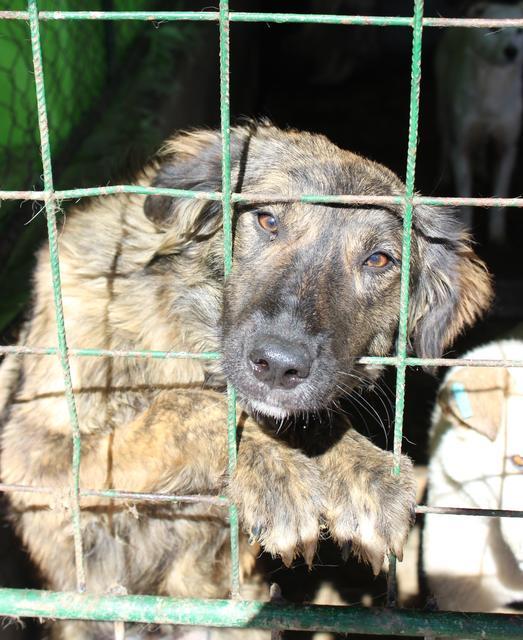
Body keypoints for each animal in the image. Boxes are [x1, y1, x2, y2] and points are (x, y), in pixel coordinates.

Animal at [0, 122, 494, 636]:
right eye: (268, 220)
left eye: (379, 260)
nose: (278, 364)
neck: (179, 327)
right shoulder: (32, 459)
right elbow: (187, 406)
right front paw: (274, 469)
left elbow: (308, 415)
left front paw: (367, 471)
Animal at [436, 1, 523, 242]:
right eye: (493, 29)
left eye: (519, 31)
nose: (511, 51)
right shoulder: (462, 146)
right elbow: (465, 196)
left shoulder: (507, 147)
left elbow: (500, 193)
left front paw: (497, 232)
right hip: (443, 105)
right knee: (445, 138)